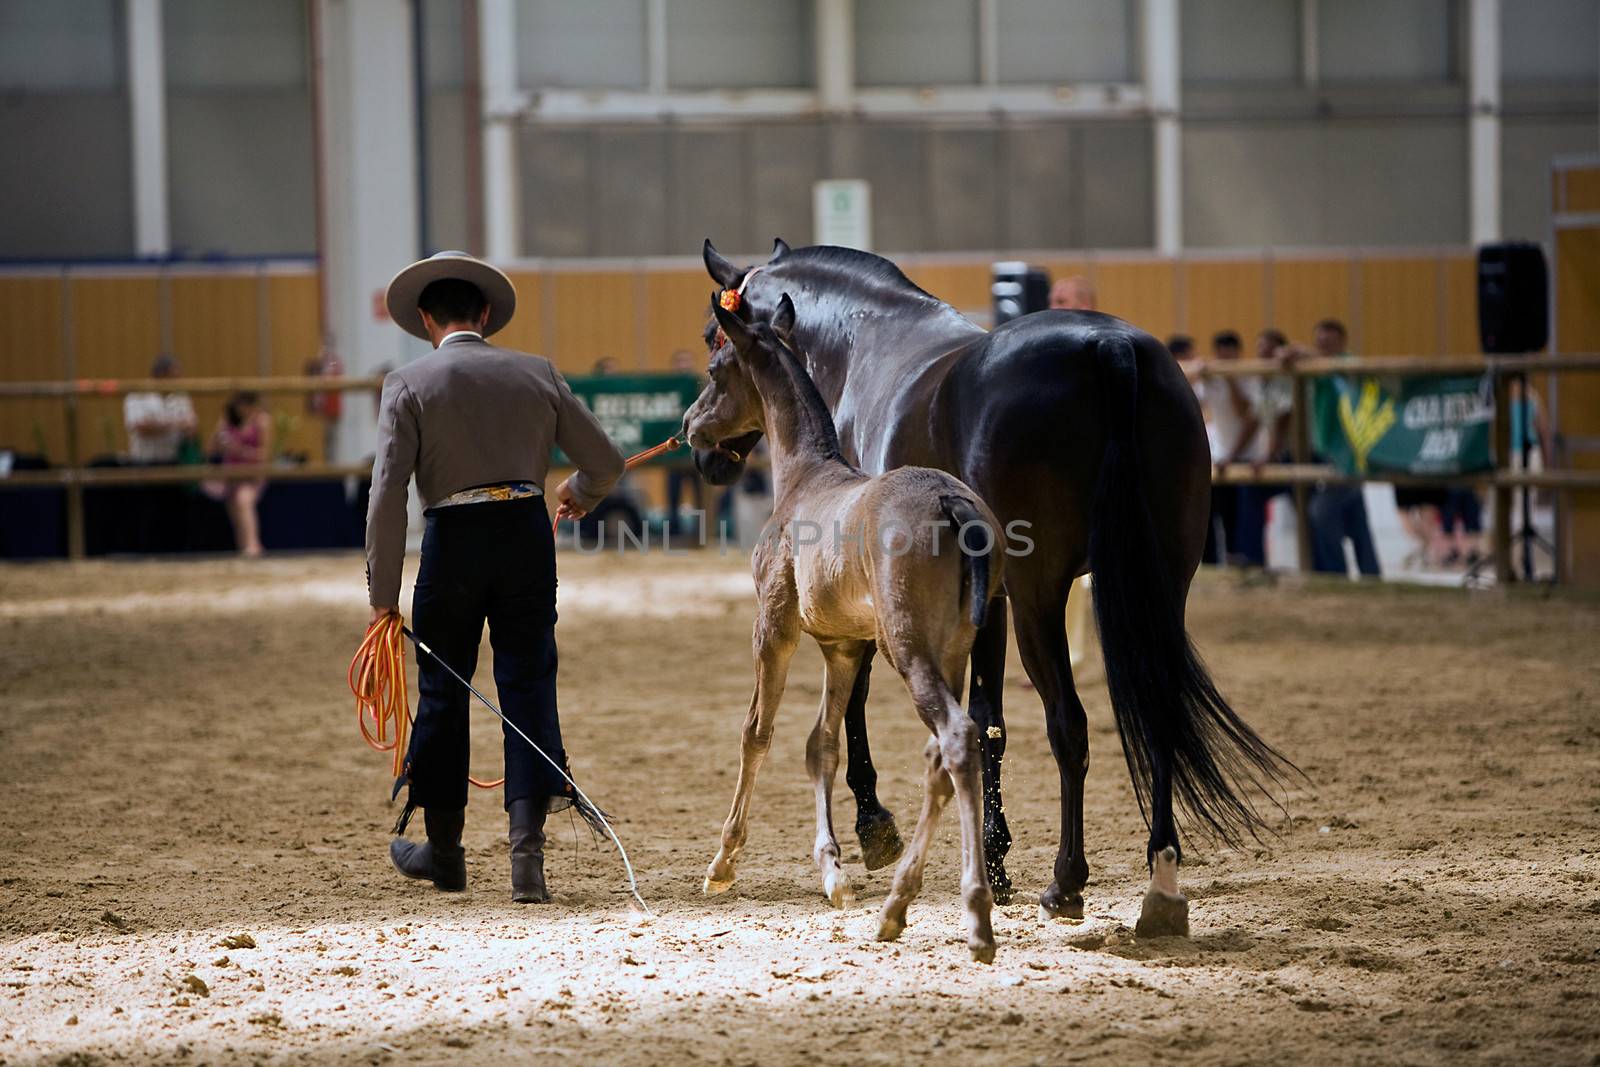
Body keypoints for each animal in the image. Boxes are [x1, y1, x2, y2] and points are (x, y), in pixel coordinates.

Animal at [691, 235, 1286, 934]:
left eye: (712, 344)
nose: (700, 451)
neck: (866, 344)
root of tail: (1113, 351)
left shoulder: (888, 611)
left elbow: (866, 708)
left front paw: (878, 829)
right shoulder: (981, 605)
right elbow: (988, 718)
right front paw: (993, 858)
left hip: (1040, 597)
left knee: (1068, 724)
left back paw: (1066, 882)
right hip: (1159, 586)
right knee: (1158, 713)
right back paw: (1160, 882)